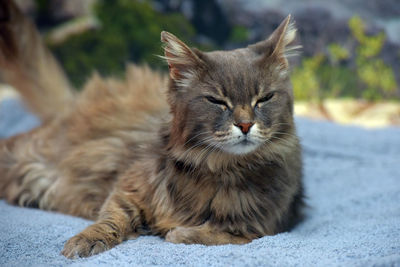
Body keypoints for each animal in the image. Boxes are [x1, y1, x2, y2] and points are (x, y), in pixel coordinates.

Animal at [0, 0, 304, 260]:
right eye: (216, 101)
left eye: (264, 99)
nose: (245, 124)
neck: (222, 168)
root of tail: (72, 103)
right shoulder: (129, 186)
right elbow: (111, 218)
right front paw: (85, 241)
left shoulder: (266, 227)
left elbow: (219, 235)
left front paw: (180, 233)